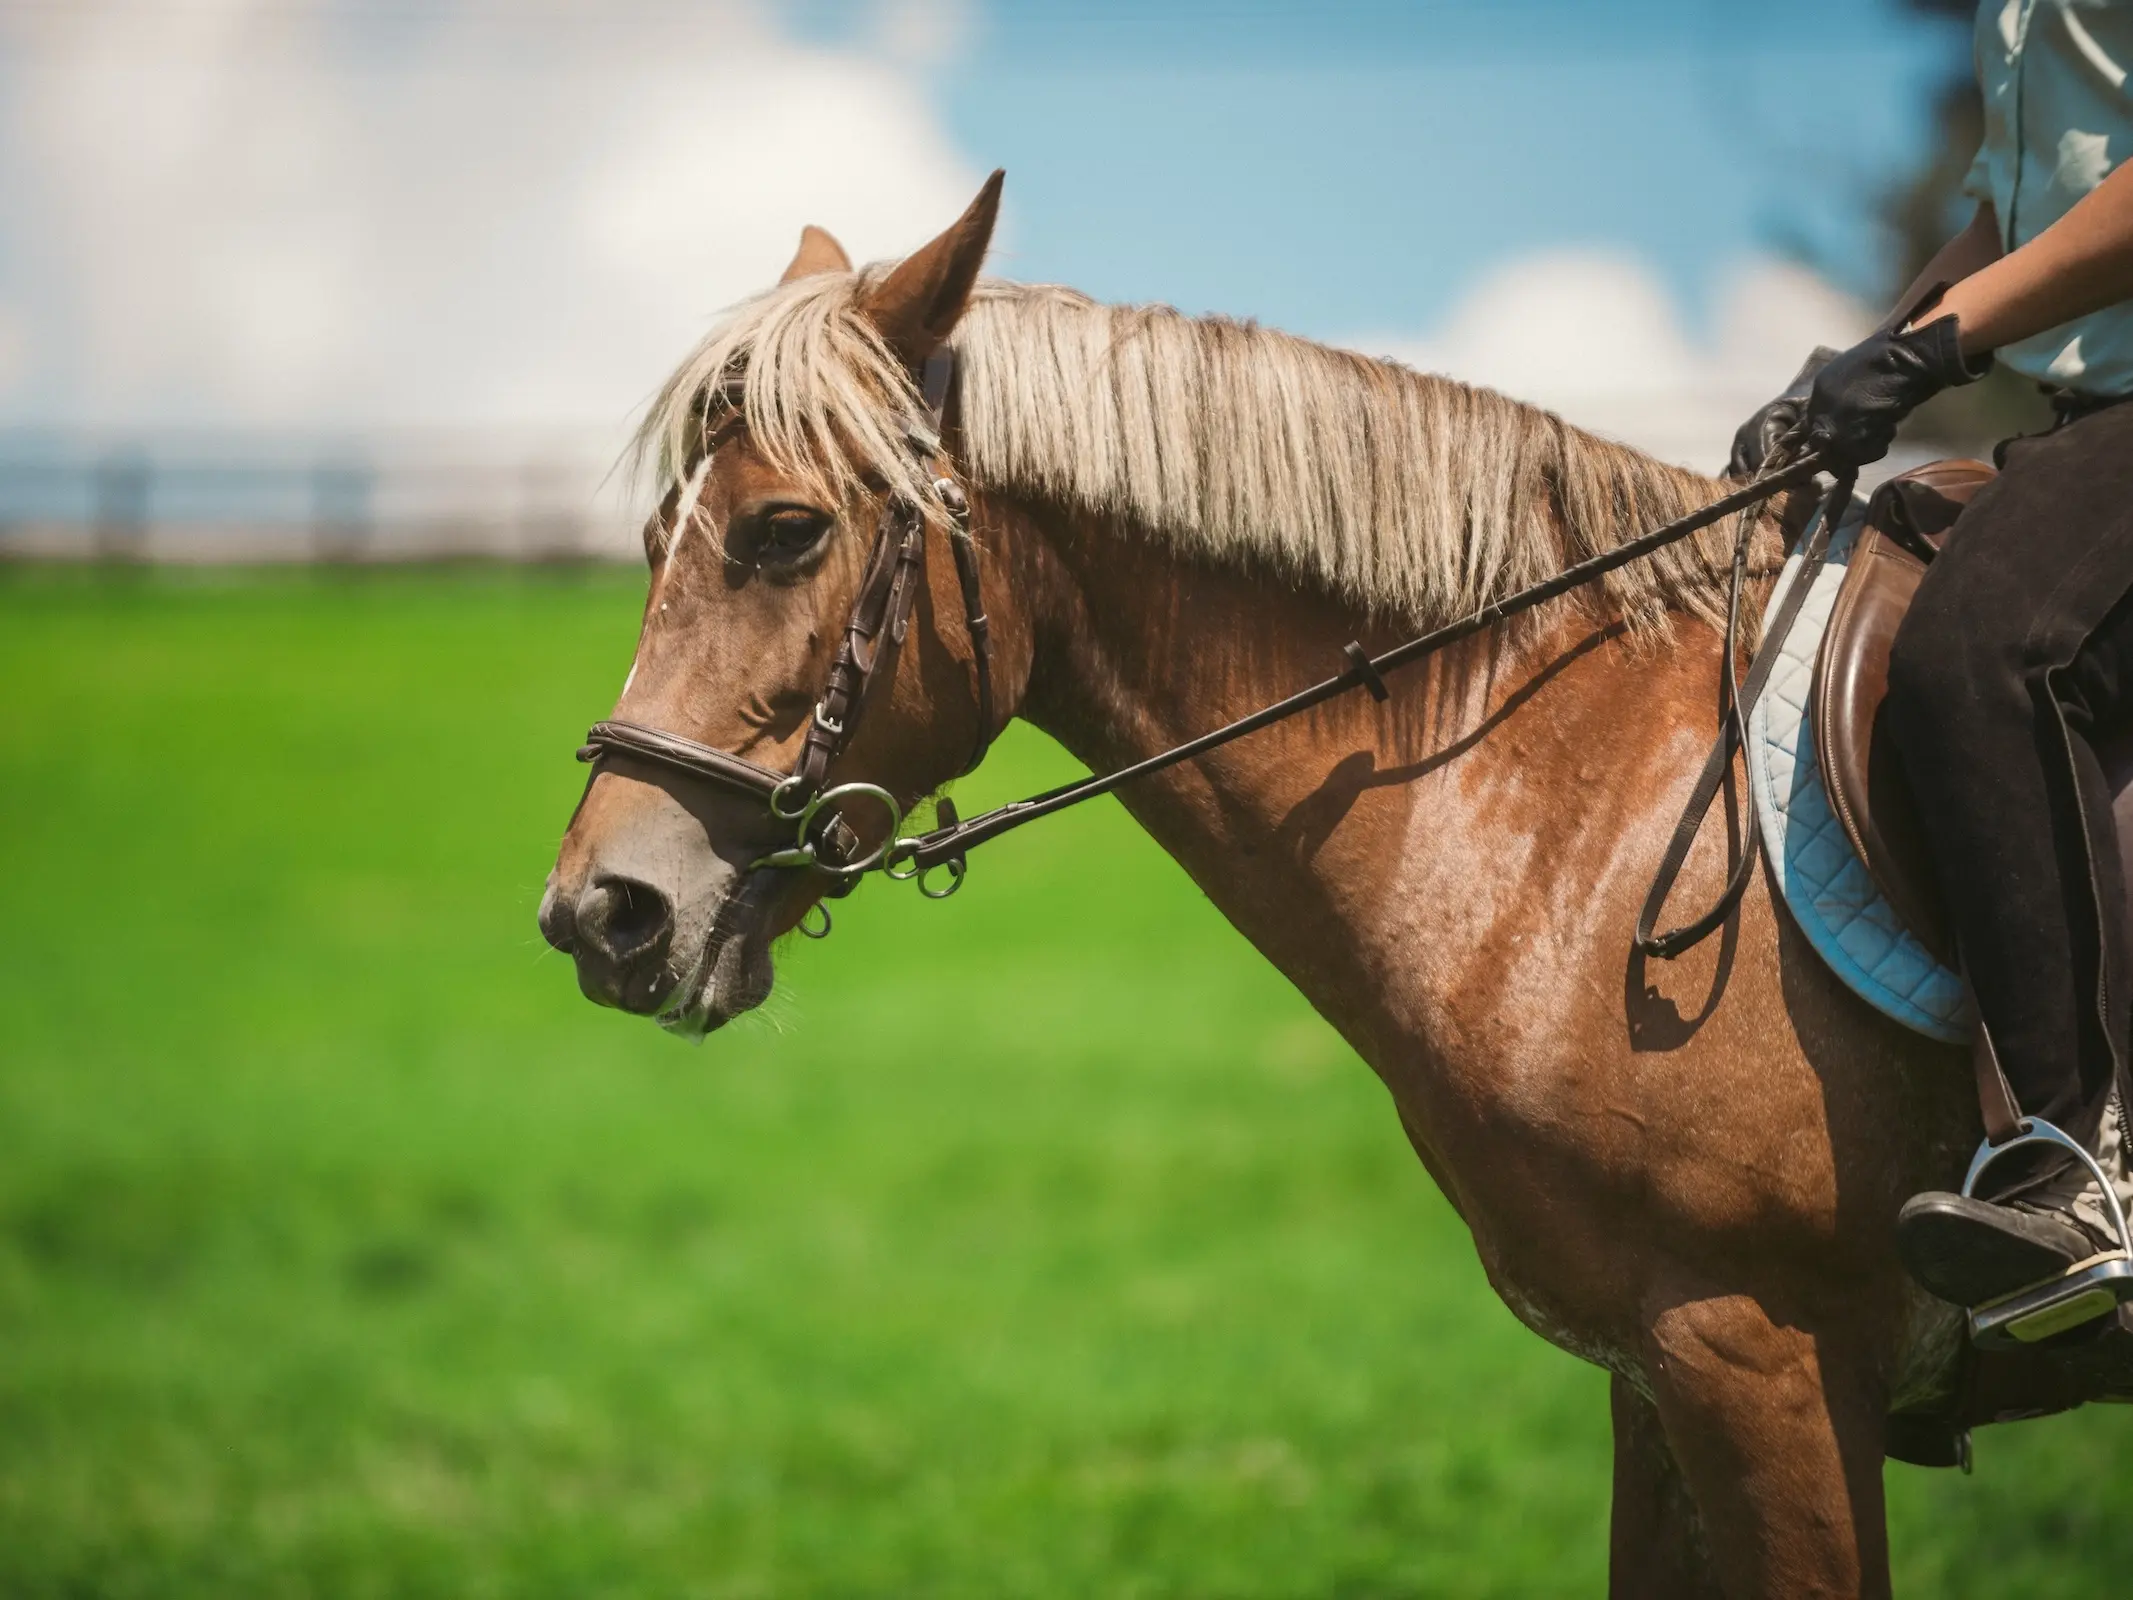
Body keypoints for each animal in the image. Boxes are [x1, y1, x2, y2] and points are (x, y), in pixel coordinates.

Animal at [541, 169, 1970, 1595]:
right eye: (657, 537)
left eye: (785, 531)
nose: (597, 914)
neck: (1576, 802)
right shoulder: (1659, 1375)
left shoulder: (1761, 1358)